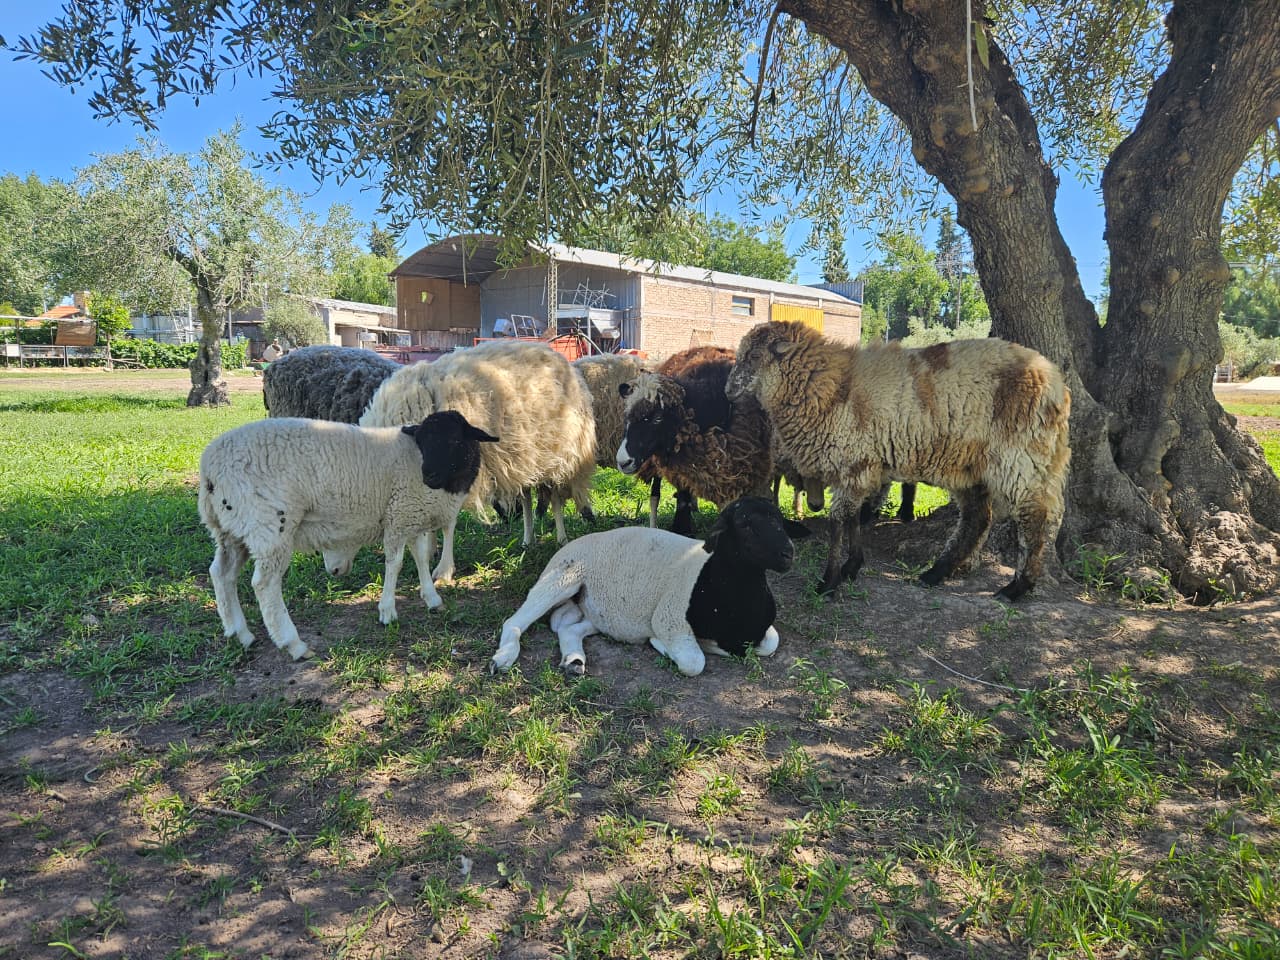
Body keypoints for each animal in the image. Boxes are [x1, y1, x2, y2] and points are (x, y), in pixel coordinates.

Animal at [200, 410, 499, 661]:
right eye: (423, 441)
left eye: (455, 441)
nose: (429, 475)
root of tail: (210, 467)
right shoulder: (398, 514)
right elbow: (396, 563)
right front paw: (387, 611)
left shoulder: (410, 516)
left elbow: (421, 558)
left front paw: (431, 598)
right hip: (270, 526)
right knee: (264, 584)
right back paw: (293, 644)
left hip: (231, 530)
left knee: (222, 573)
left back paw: (240, 633)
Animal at [359, 339, 597, 582]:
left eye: (453, 441)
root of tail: (556, 355)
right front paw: (431, 551)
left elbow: (449, 523)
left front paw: (444, 570)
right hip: (527, 460)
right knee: (527, 500)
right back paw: (527, 539)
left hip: (559, 458)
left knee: (556, 499)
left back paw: (561, 538)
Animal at [490, 496, 811, 677]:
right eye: (744, 524)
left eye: (781, 521)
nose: (788, 553)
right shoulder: (669, 620)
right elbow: (694, 662)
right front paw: (662, 646)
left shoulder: (762, 632)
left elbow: (769, 644)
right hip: (561, 577)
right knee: (513, 622)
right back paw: (503, 659)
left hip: (601, 613)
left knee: (569, 629)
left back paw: (574, 662)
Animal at [616, 346, 775, 536]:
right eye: (626, 417)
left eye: (657, 418)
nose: (622, 461)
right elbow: (681, 499)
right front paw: (681, 529)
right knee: (656, 495)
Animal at [726, 321, 1071, 601]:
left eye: (752, 356)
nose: (728, 390)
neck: (832, 386)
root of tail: (1056, 382)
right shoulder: (859, 467)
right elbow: (853, 518)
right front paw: (852, 566)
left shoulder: (854, 462)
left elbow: (838, 522)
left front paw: (829, 582)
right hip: (971, 465)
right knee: (977, 519)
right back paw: (935, 573)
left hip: (1022, 458)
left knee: (1034, 517)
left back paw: (1017, 587)